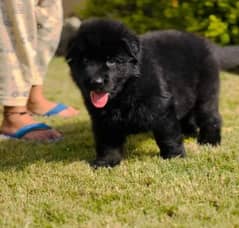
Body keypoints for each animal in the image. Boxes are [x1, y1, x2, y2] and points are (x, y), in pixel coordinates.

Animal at [66, 18, 222, 167]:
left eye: (111, 60)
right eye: (85, 60)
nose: (95, 82)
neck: (126, 90)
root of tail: (200, 40)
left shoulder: (162, 107)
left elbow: (168, 135)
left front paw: (175, 156)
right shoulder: (102, 119)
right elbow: (107, 142)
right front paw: (107, 161)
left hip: (206, 93)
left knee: (210, 117)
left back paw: (210, 141)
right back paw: (189, 132)